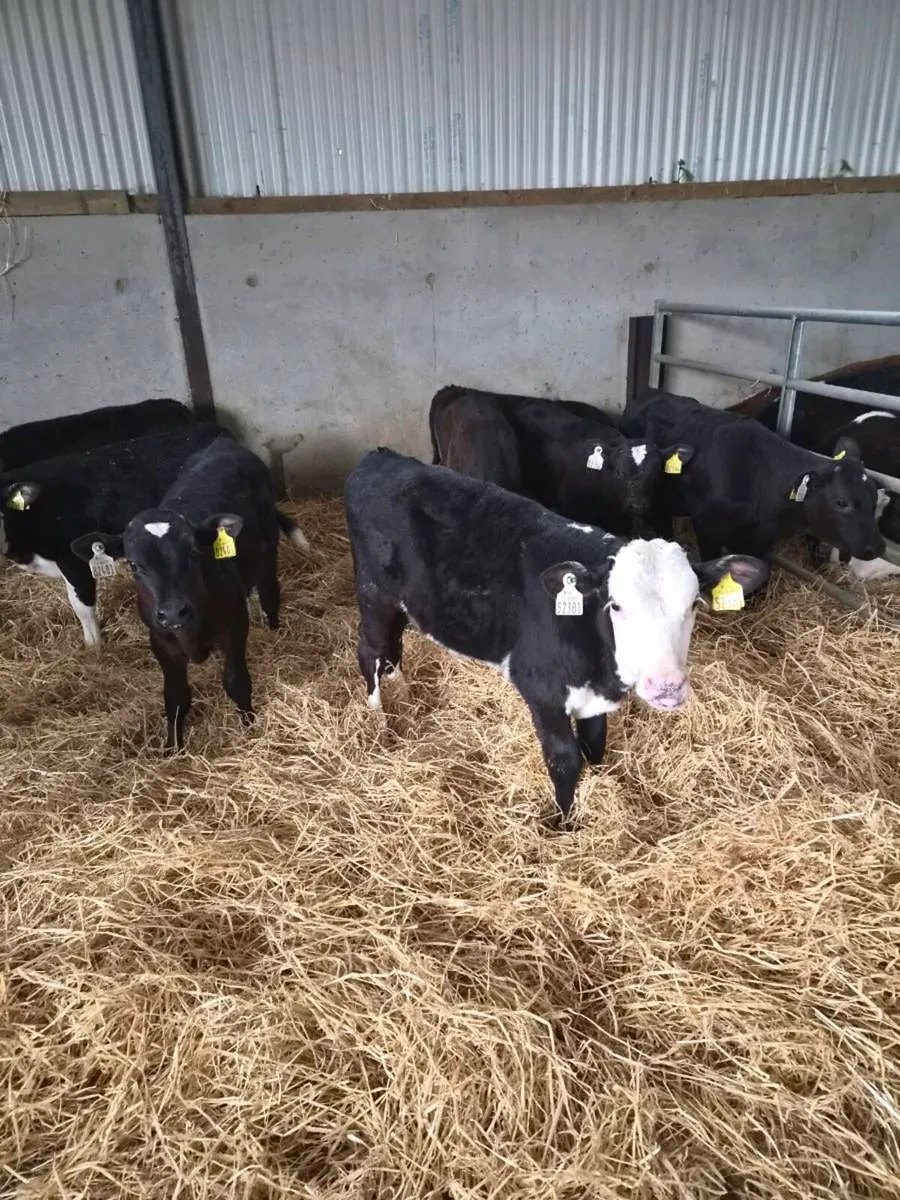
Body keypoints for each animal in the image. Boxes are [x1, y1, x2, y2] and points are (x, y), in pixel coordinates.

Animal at [71, 435, 307, 750]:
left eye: (194, 554)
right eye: (134, 564)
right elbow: (175, 697)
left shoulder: (233, 627)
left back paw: (273, 630)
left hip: (268, 549)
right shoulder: (161, 641)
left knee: (270, 593)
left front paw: (249, 726)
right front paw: (173, 748)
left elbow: (236, 681)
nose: (173, 612)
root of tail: (223, 443)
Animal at [344, 448, 768, 822]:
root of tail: (380, 458)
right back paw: (381, 724)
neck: (602, 668)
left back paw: (406, 697)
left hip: (404, 603)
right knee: (370, 651)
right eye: (616, 606)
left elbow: (595, 745)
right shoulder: (542, 690)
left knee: (393, 648)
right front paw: (562, 823)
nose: (666, 687)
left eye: (694, 603)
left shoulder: (595, 700)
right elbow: (564, 760)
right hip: (374, 594)